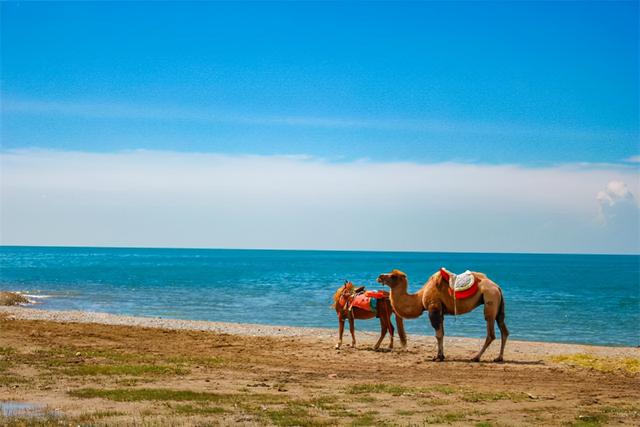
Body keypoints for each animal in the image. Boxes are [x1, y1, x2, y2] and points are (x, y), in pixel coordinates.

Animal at [378, 270, 508, 362]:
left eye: (393, 276)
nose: (380, 277)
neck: (420, 297)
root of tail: (497, 287)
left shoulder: (433, 308)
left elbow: (438, 334)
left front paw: (438, 357)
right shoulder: (440, 311)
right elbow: (442, 333)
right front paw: (441, 356)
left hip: (490, 299)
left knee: (491, 333)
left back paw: (476, 357)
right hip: (498, 304)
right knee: (504, 330)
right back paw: (499, 358)